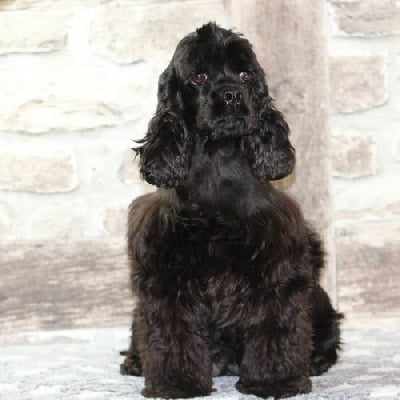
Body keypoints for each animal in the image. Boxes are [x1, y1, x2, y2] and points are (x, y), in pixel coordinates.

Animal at [120, 22, 342, 399]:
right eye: (198, 77)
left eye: (244, 74)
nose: (231, 95)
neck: (218, 165)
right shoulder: (166, 276)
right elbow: (172, 334)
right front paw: (176, 384)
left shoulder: (276, 271)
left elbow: (274, 328)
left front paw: (275, 381)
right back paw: (136, 362)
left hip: (319, 301)